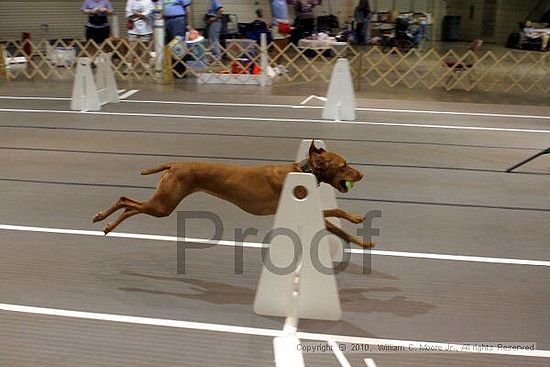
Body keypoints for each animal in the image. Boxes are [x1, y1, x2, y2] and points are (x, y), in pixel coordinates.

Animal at [94, 142, 376, 249]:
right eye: (343, 165)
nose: (362, 174)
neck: (302, 171)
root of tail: (175, 164)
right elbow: (336, 215)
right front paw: (358, 227)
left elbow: (338, 224)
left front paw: (360, 236)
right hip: (164, 205)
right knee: (127, 202)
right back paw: (104, 221)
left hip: (163, 202)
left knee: (128, 203)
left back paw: (104, 221)